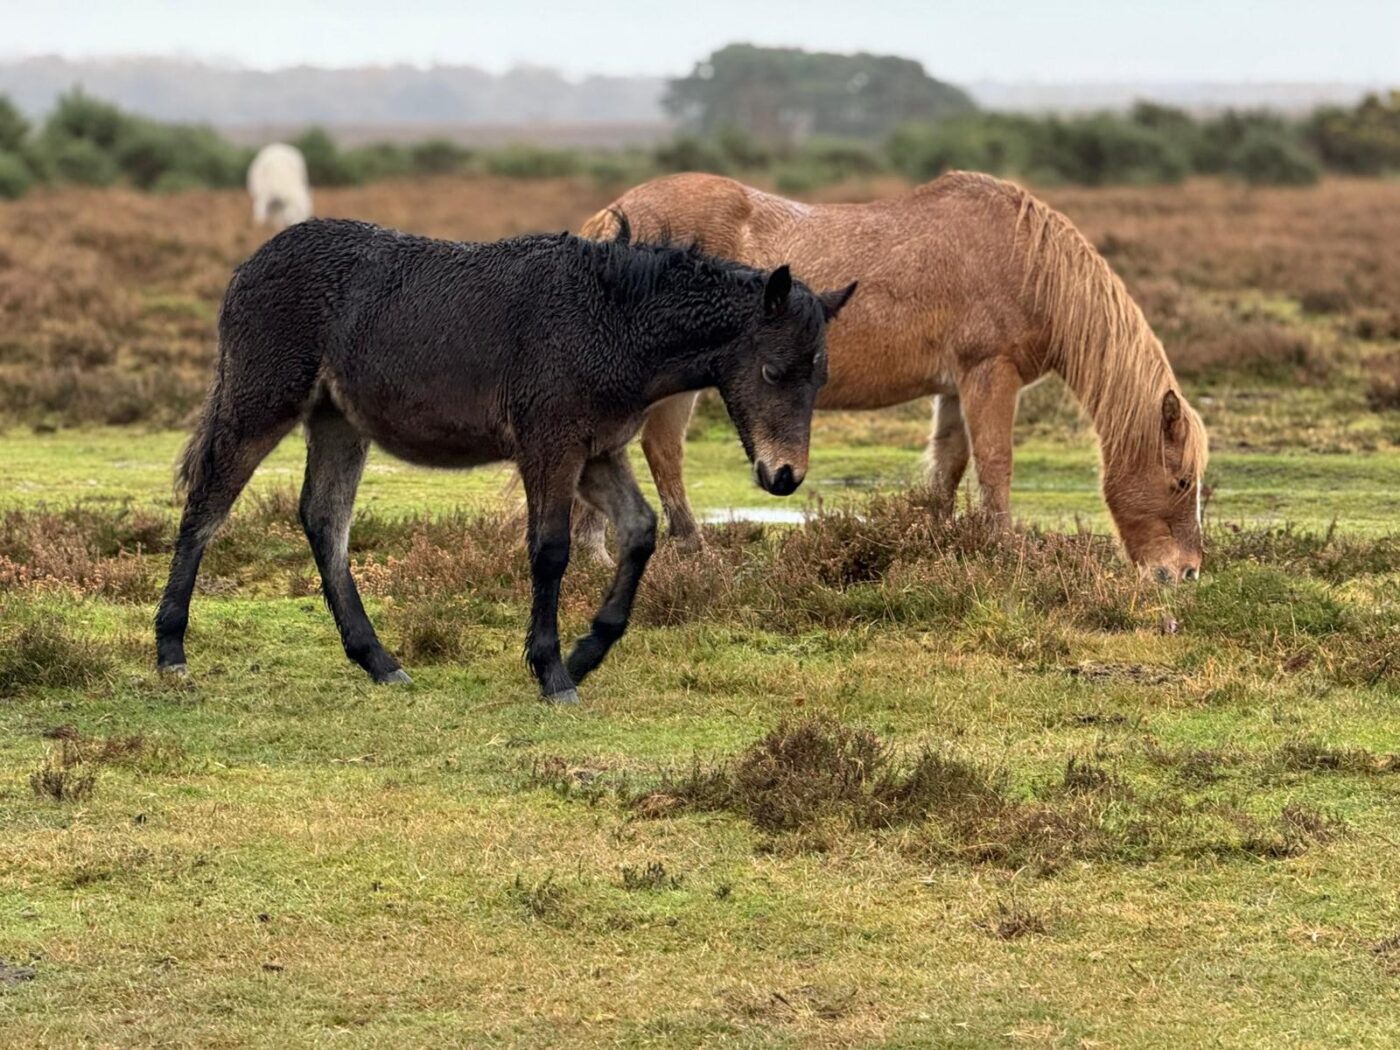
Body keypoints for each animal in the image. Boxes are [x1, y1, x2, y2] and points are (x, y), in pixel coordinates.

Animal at [154, 218, 856, 703]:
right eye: (773, 370)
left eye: (821, 377)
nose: (784, 476)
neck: (611, 317)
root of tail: (246, 268)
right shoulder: (550, 447)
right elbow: (550, 550)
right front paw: (553, 673)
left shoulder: (597, 450)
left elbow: (639, 532)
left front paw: (586, 653)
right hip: (261, 402)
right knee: (207, 508)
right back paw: (170, 650)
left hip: (337, 422)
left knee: (325, 521)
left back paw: (380, 661)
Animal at [575, 171, 1208, 584]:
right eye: (1181, 481)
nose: (1186, 573)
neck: (1028, 263)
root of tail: (616, 216)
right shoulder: (990, 374)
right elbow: (996, 463)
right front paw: (1005, 552)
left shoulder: (956, 388)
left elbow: (950, 466)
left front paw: (931, 543)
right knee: (659, 451)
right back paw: (680, 550)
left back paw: (599, 552)